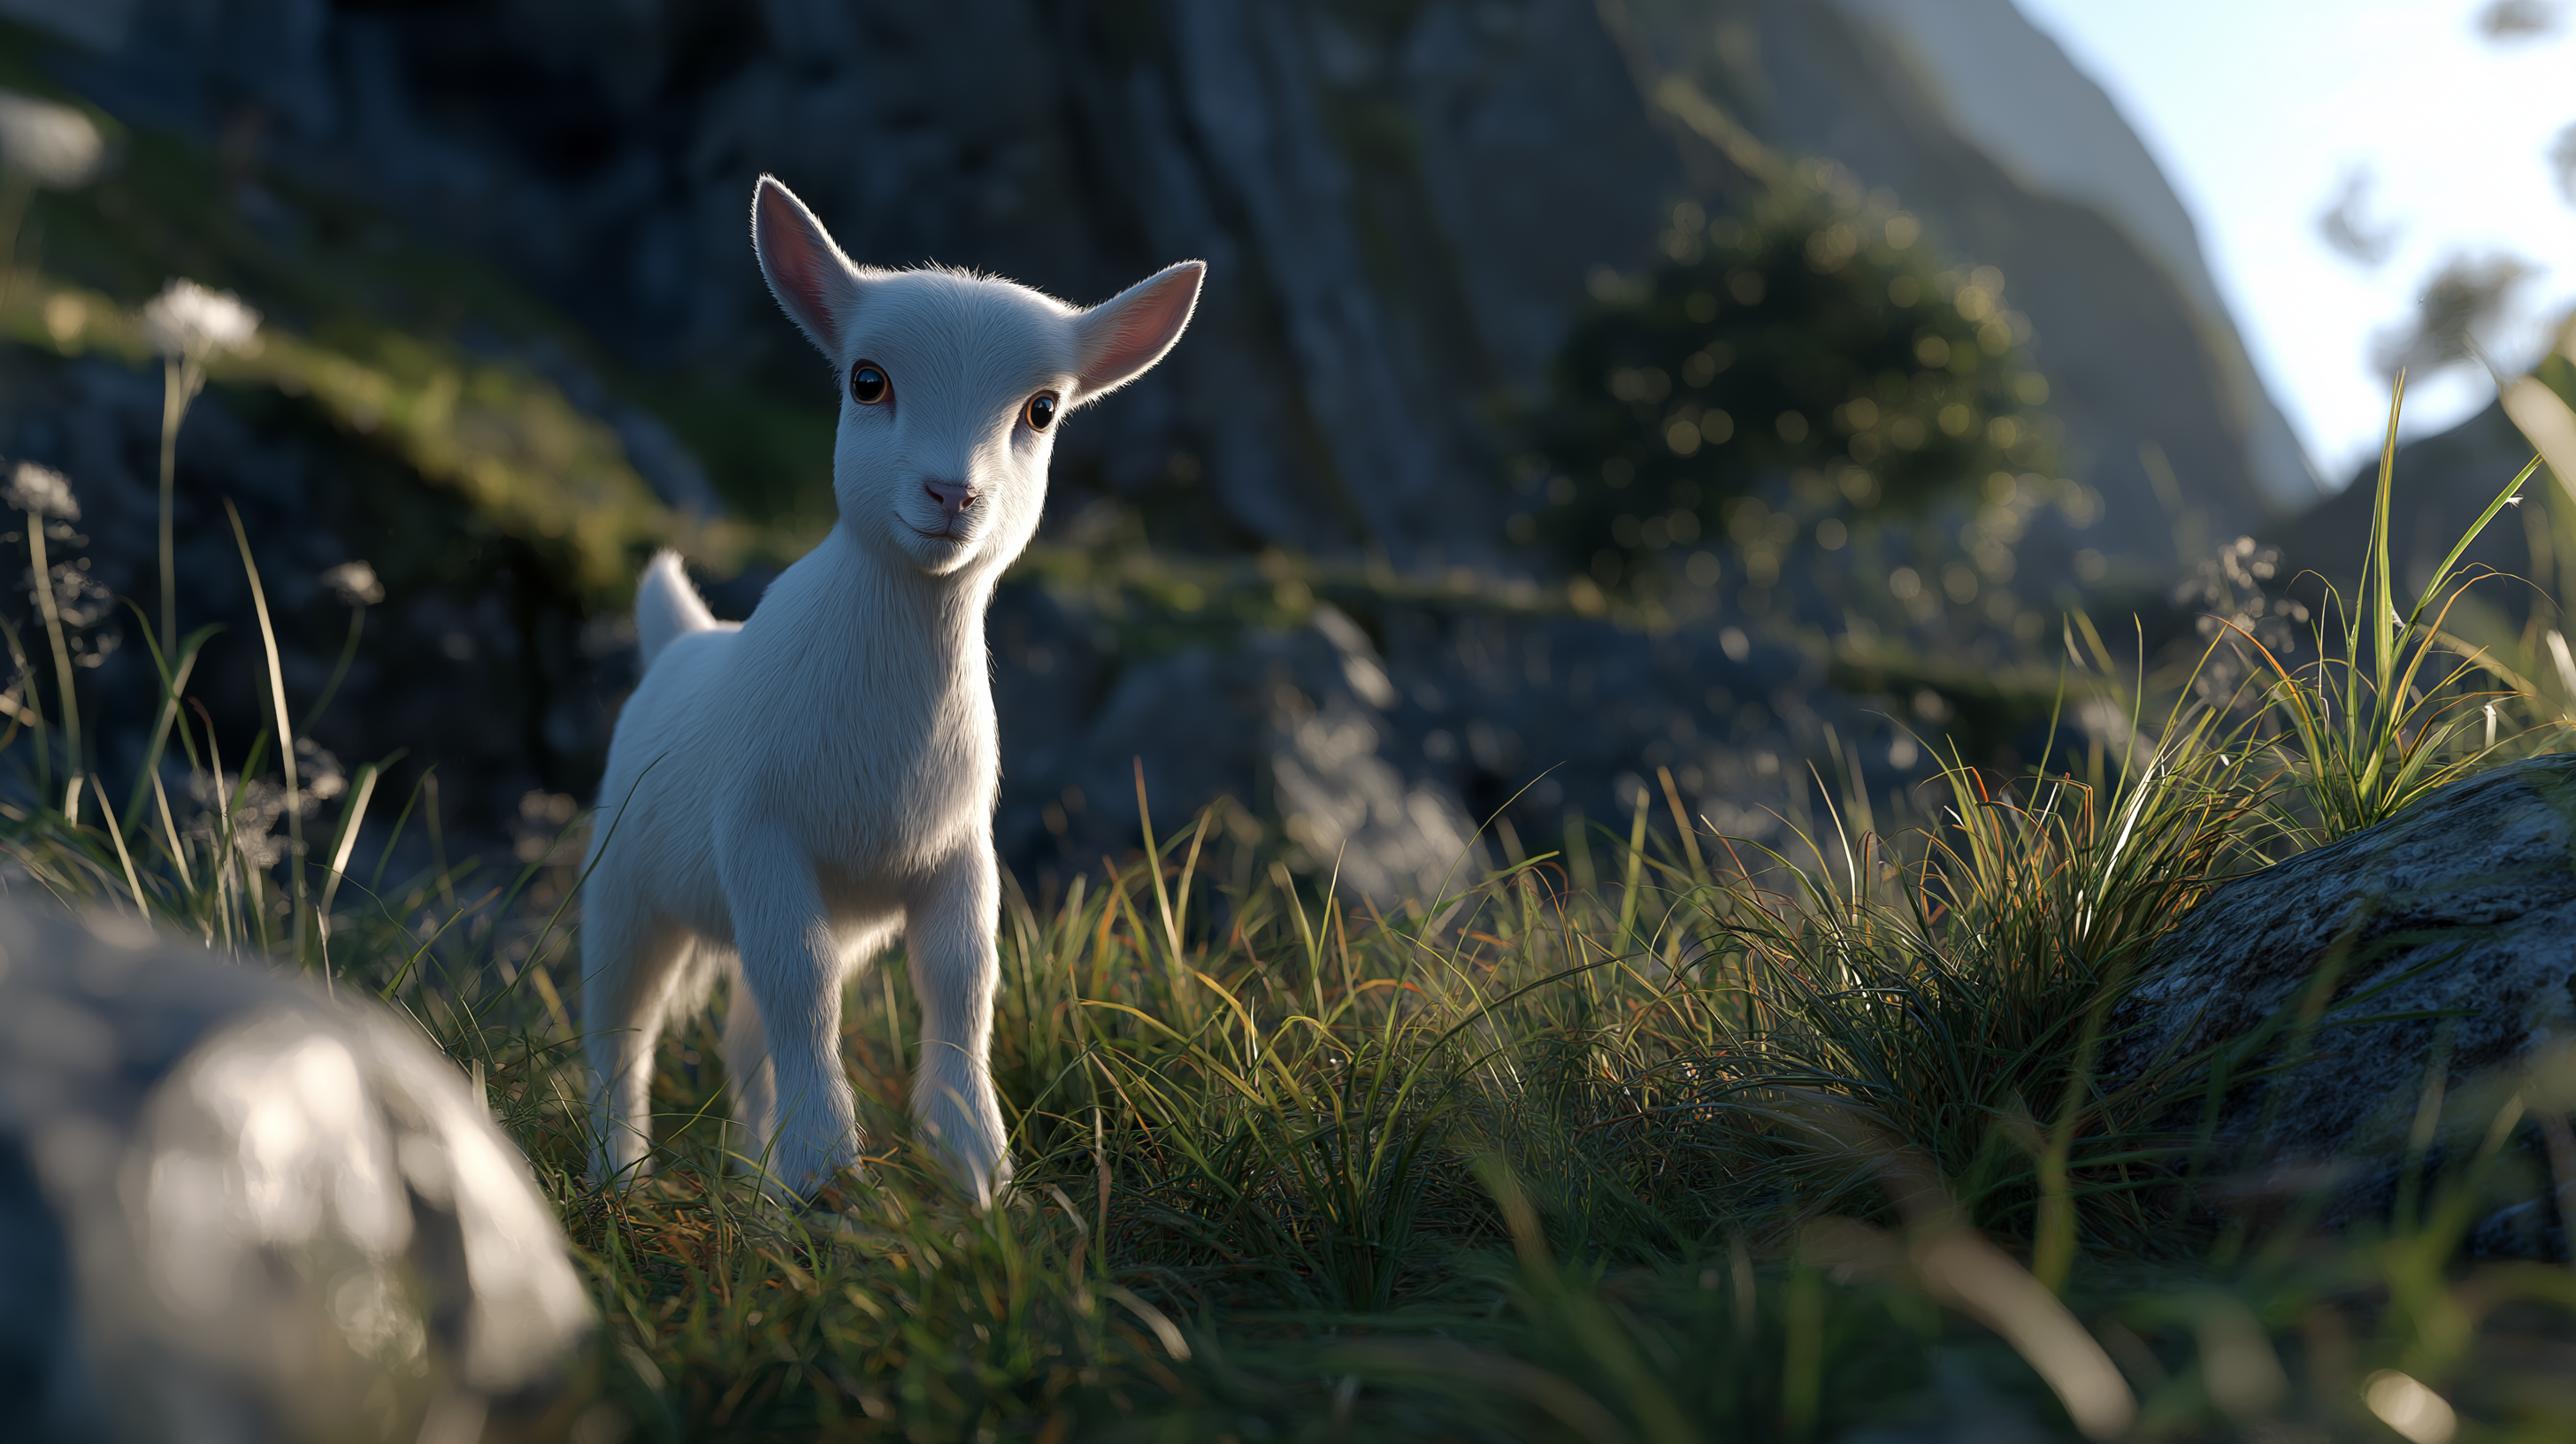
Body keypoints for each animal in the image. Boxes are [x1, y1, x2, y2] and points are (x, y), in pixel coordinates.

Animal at [580, 175, 1202, 1206]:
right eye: (867, 381)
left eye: (1042, 410)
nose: (952, 495)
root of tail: (683, 634)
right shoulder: (761, 833)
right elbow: (805, 992)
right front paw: (829, 1164)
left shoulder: (956, 853)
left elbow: (961, 988)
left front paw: (978, 1170)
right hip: (625, 881)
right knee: (620, 1031)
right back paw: (621, 1181)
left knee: (745, 1037)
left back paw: (759, 1198)